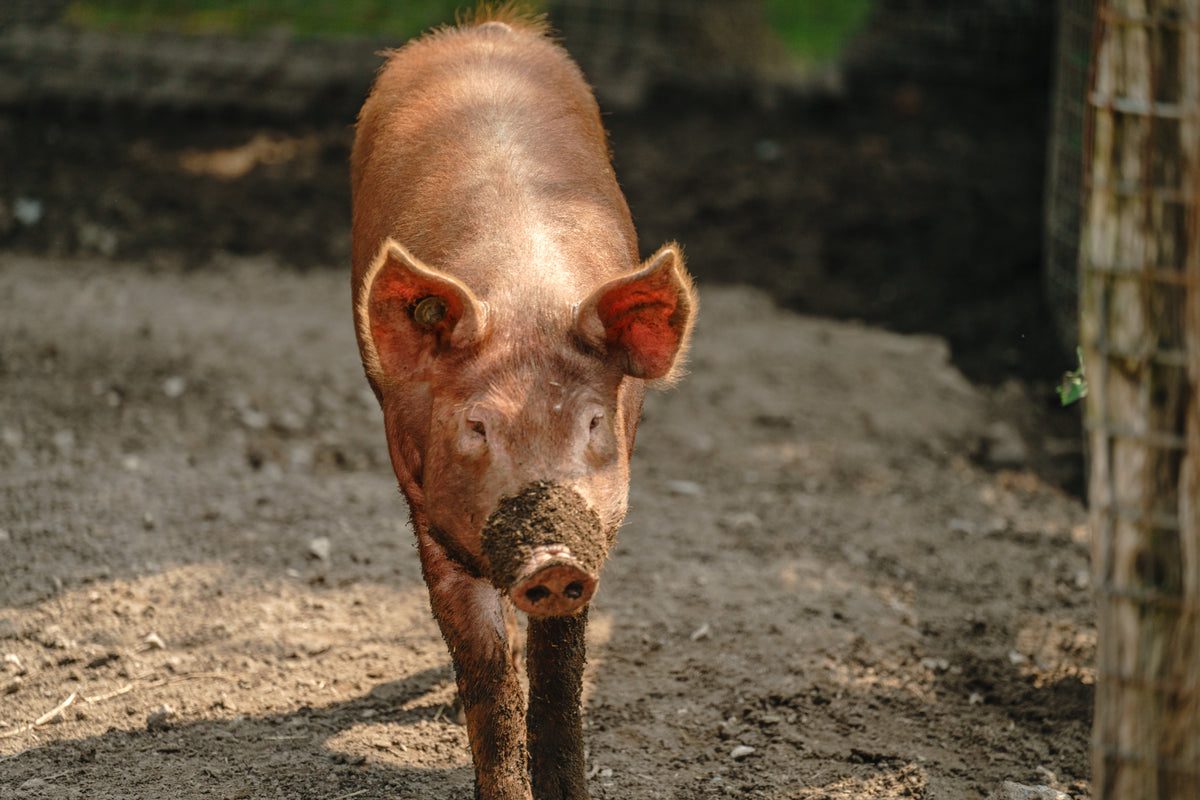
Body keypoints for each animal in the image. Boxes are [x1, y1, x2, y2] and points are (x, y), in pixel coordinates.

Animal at [350, 7, 696, 800]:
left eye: (594, 421)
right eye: (477, 424)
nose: (550, 558)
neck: (525, 300)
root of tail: (481, 29)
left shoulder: (599, 527)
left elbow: (561, 668)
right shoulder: (424, 502)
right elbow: (486, 670)